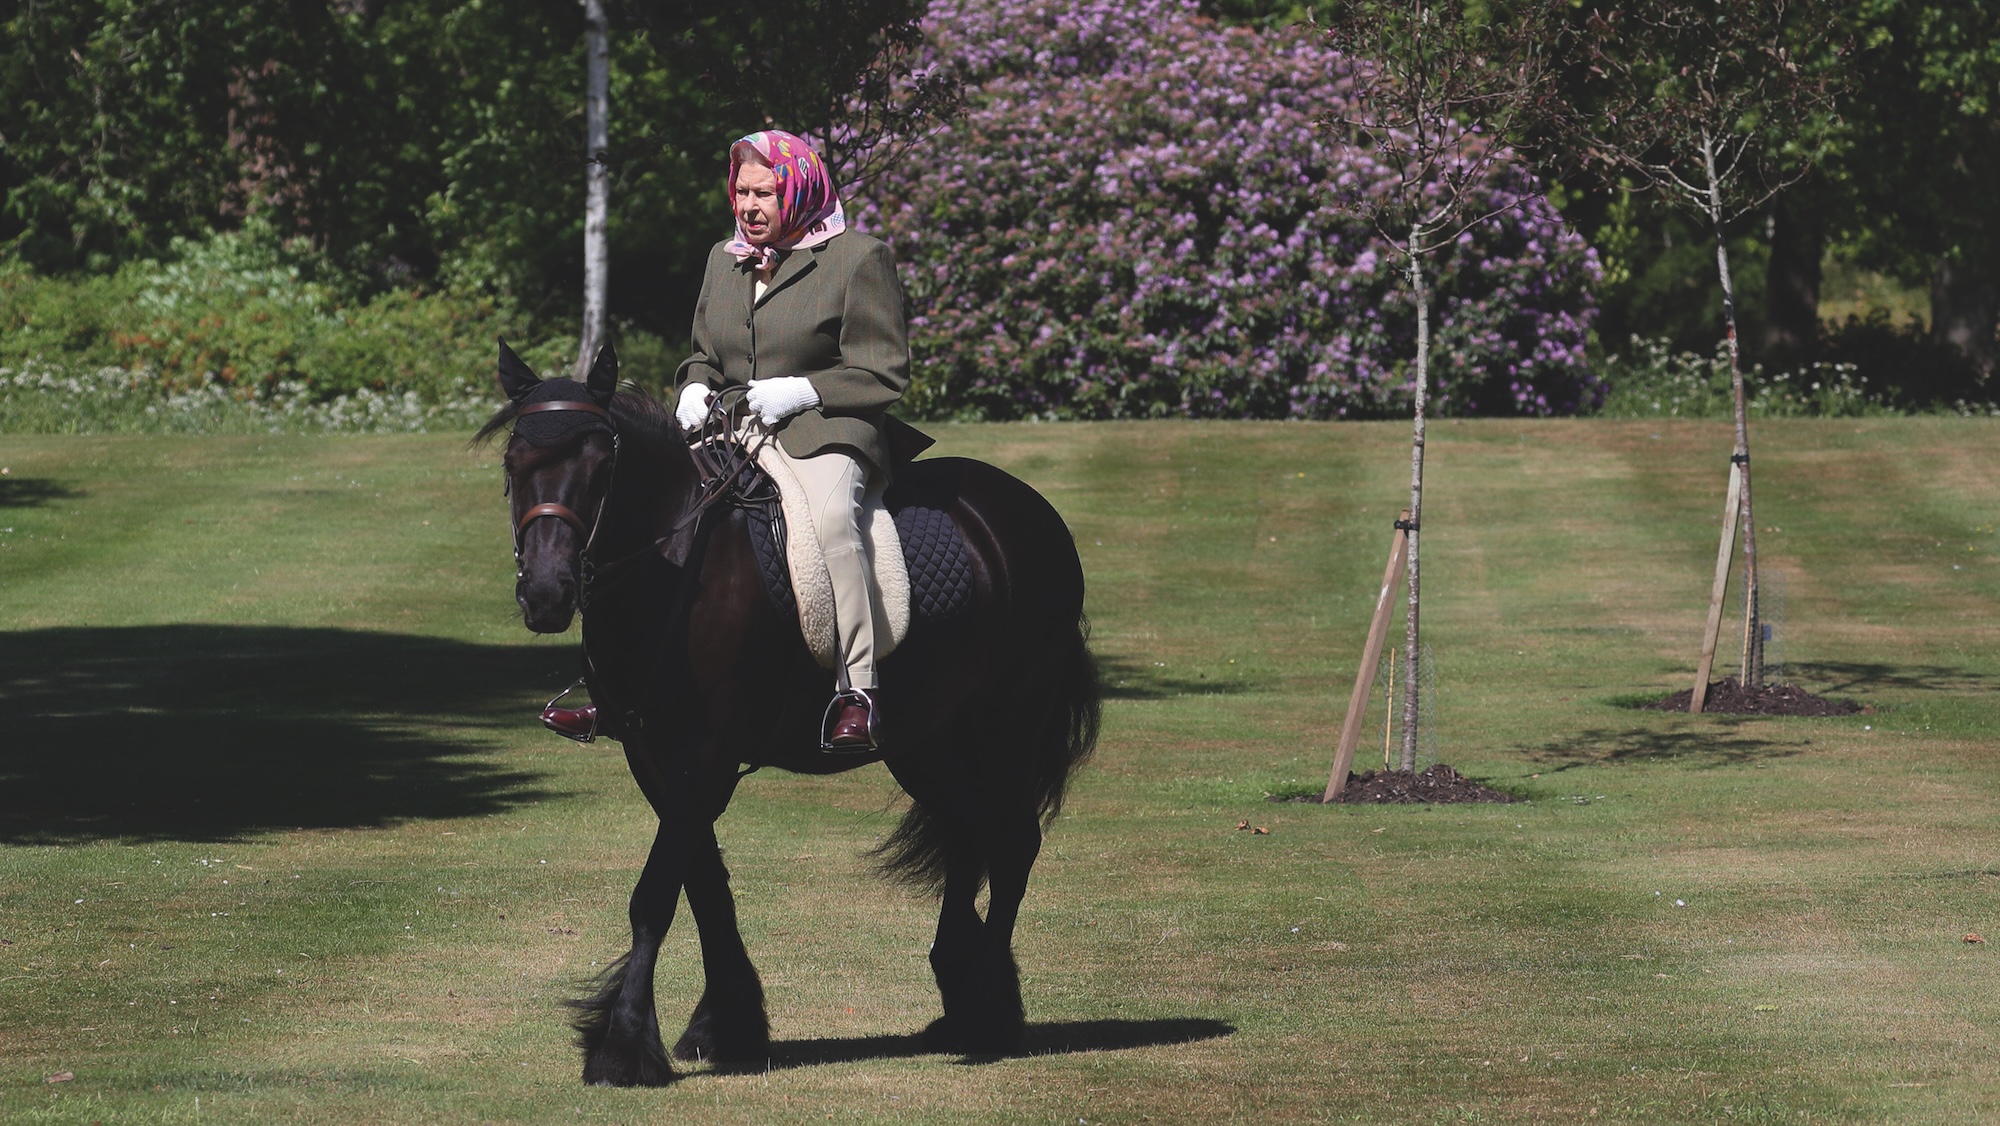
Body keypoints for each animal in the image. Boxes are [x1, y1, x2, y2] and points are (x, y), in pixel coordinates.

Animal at [478, 342, 1101, 1086]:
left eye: (602, 467)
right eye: (514, 464)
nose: (547, 594)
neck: (675, 565)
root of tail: (1026, 511)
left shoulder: (706, 756)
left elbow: (656, 892)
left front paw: (623, 1045)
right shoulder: (654, 756)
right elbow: (704, 886)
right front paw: (726, 1025)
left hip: (1007, 722)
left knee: (1011, 844)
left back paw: (990, 1012)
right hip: (927, 740)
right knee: (967, 832)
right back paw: (960, 993)